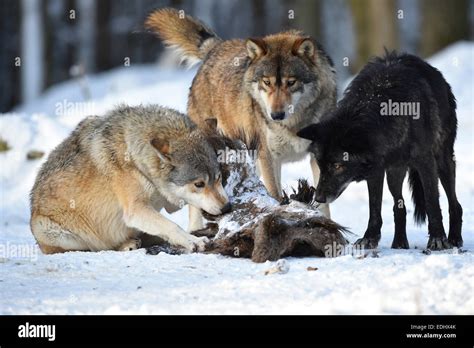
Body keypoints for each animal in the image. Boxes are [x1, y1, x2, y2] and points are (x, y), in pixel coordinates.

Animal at [29, 104, 230, 254]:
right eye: (199, 184)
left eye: (219, 177)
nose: (227, 207)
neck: (135, 158)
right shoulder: (135, 209)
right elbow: (172, 226)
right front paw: (193, 240)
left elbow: (192, 209)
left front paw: (195, 230)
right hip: (50, 230)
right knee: (97, 247)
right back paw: (127, 244)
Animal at [145, 8, 336, 228]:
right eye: (267, 82)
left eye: (291, 82)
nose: (275, 115)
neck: (293, 124)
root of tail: (216, 47)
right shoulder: (268, 157)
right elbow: (275, 195)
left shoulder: (316, 156)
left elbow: (323, 203)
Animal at [298, 51, 462, 250]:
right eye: (320, 165)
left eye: (337, 166)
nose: (319, 198)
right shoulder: (376, 170)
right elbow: (374, 207)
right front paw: (369, 238)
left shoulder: (425, 162)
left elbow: (432, 202)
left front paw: (438, 238)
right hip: (394, 174)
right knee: (399, 207)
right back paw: (399, 243)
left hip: (443, 162)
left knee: (454, 204)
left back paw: (454, 238)